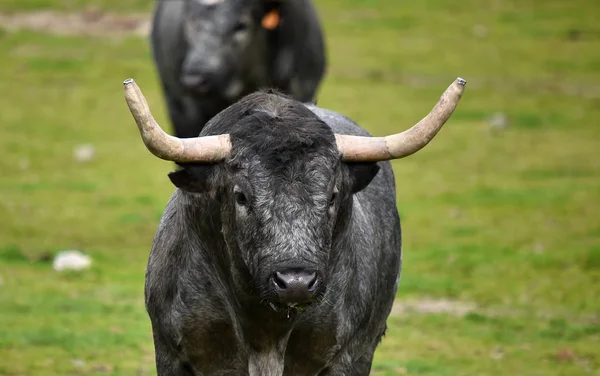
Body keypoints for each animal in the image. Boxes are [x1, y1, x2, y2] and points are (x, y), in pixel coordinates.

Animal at [124, 76, 466, 374]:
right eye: (241, 196)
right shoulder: (172, 352)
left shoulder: (349, 356)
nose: (296, 282)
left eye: (332, 195)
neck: (265, 332)